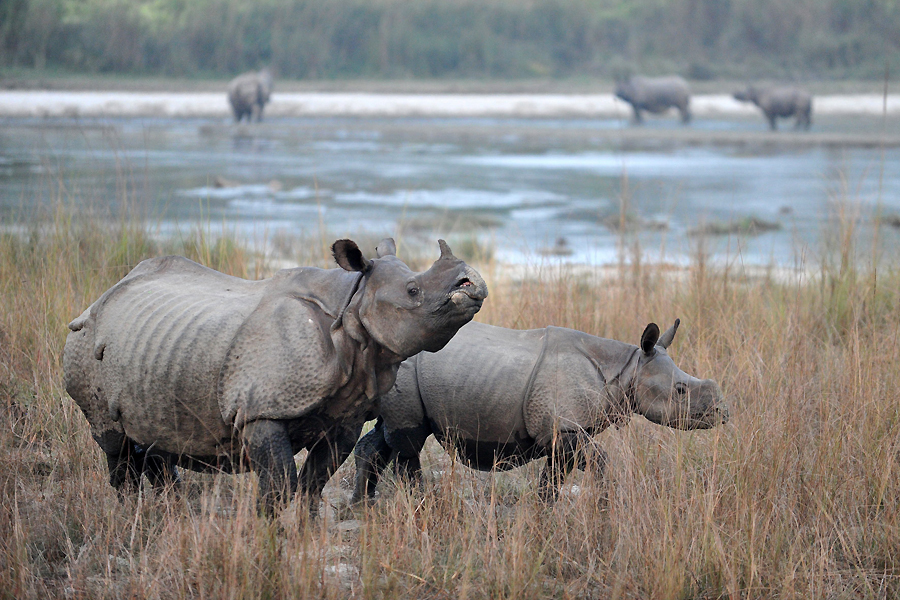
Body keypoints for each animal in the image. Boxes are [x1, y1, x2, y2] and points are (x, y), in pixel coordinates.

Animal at [65, 238, 486, 510]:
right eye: (413, 290)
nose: (472, 284)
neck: (351, 306)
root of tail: (101, 296)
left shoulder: (344, 416)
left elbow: (314, 482)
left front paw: (304, 535)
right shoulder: (260, 409)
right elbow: (280, 484)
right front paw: (268, 541)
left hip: (160, 347)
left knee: (154, 437)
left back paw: (168, 515)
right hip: (84, 341)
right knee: (114, 443)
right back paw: (129, 519)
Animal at [354, 318, 732, 502]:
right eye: (681, 391)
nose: (723, 413)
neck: (627, 368)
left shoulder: (560, 433)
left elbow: (552, 480)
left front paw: (544, 515)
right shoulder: (563, 428)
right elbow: (599, 461)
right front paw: (603, 505)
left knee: (387, 435)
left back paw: (362, 505)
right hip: (406, 367)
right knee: (409, 441)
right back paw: (423, 505)